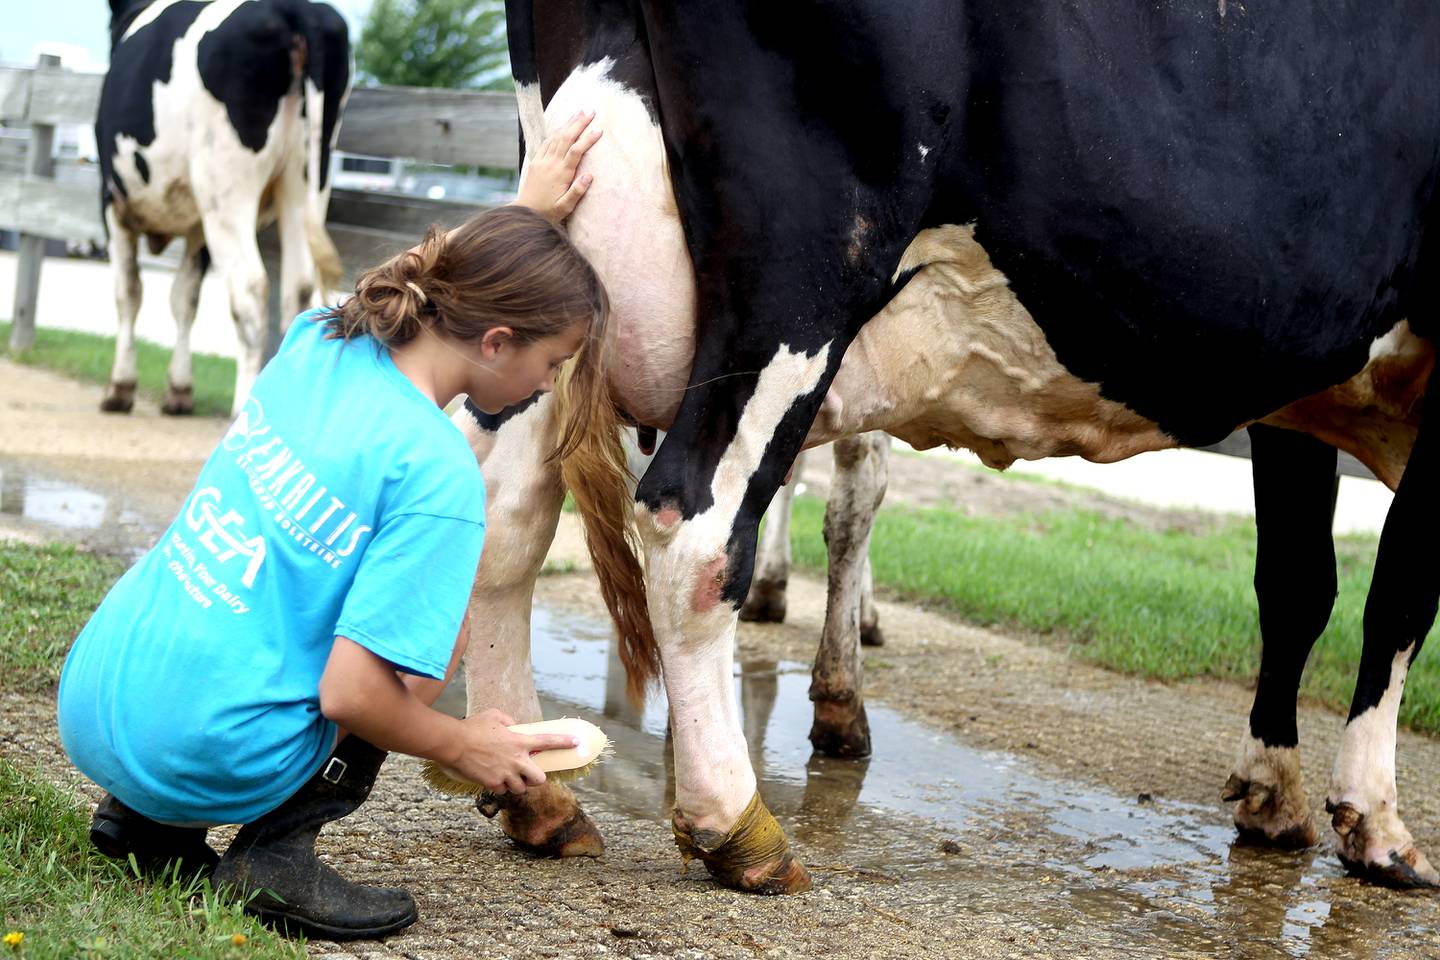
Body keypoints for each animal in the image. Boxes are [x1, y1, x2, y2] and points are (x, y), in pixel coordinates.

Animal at [97, 0, 348, 414]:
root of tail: (294, 8)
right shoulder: (197, 225)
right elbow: (184, 298)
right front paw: (179, 390)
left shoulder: (112, 202)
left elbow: (128, 293)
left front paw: (120, 388)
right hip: (304, 181)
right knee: (297, 289)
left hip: (225, 189)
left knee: (251, 289)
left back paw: (242, 406)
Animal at [463, 3, 1440, 898]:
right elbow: (1398, 595)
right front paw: (1378, 825)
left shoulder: (1295, 391)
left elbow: (1298, 587)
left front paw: (1275, 792)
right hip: (804, 270)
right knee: (694, 527)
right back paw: (738, 827)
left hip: (567, 251)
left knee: (506, 510)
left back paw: (536, 791)